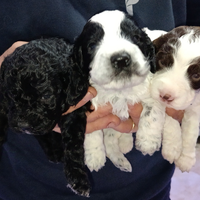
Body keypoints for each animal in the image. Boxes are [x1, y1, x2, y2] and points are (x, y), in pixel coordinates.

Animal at [0, 36, 91, 196]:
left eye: (46, 96)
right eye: (11, 94)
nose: (23, 126)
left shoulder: (74, 111)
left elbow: (74, 145)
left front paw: (78, 178)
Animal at [82, 10, 166, 172]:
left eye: (135, 38)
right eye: (92, 45)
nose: (121, 59)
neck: (120, 90)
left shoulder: (152, 93)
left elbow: (151, 114)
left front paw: (147, 142)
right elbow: (90, 130)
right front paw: (94, 156)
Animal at [151, 25, 200, 171]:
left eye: (196, 75)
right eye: (162, 61)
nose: (165, 96)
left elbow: (191, 131)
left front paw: (186, 158)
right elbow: (169, 116)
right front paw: (172, 148)